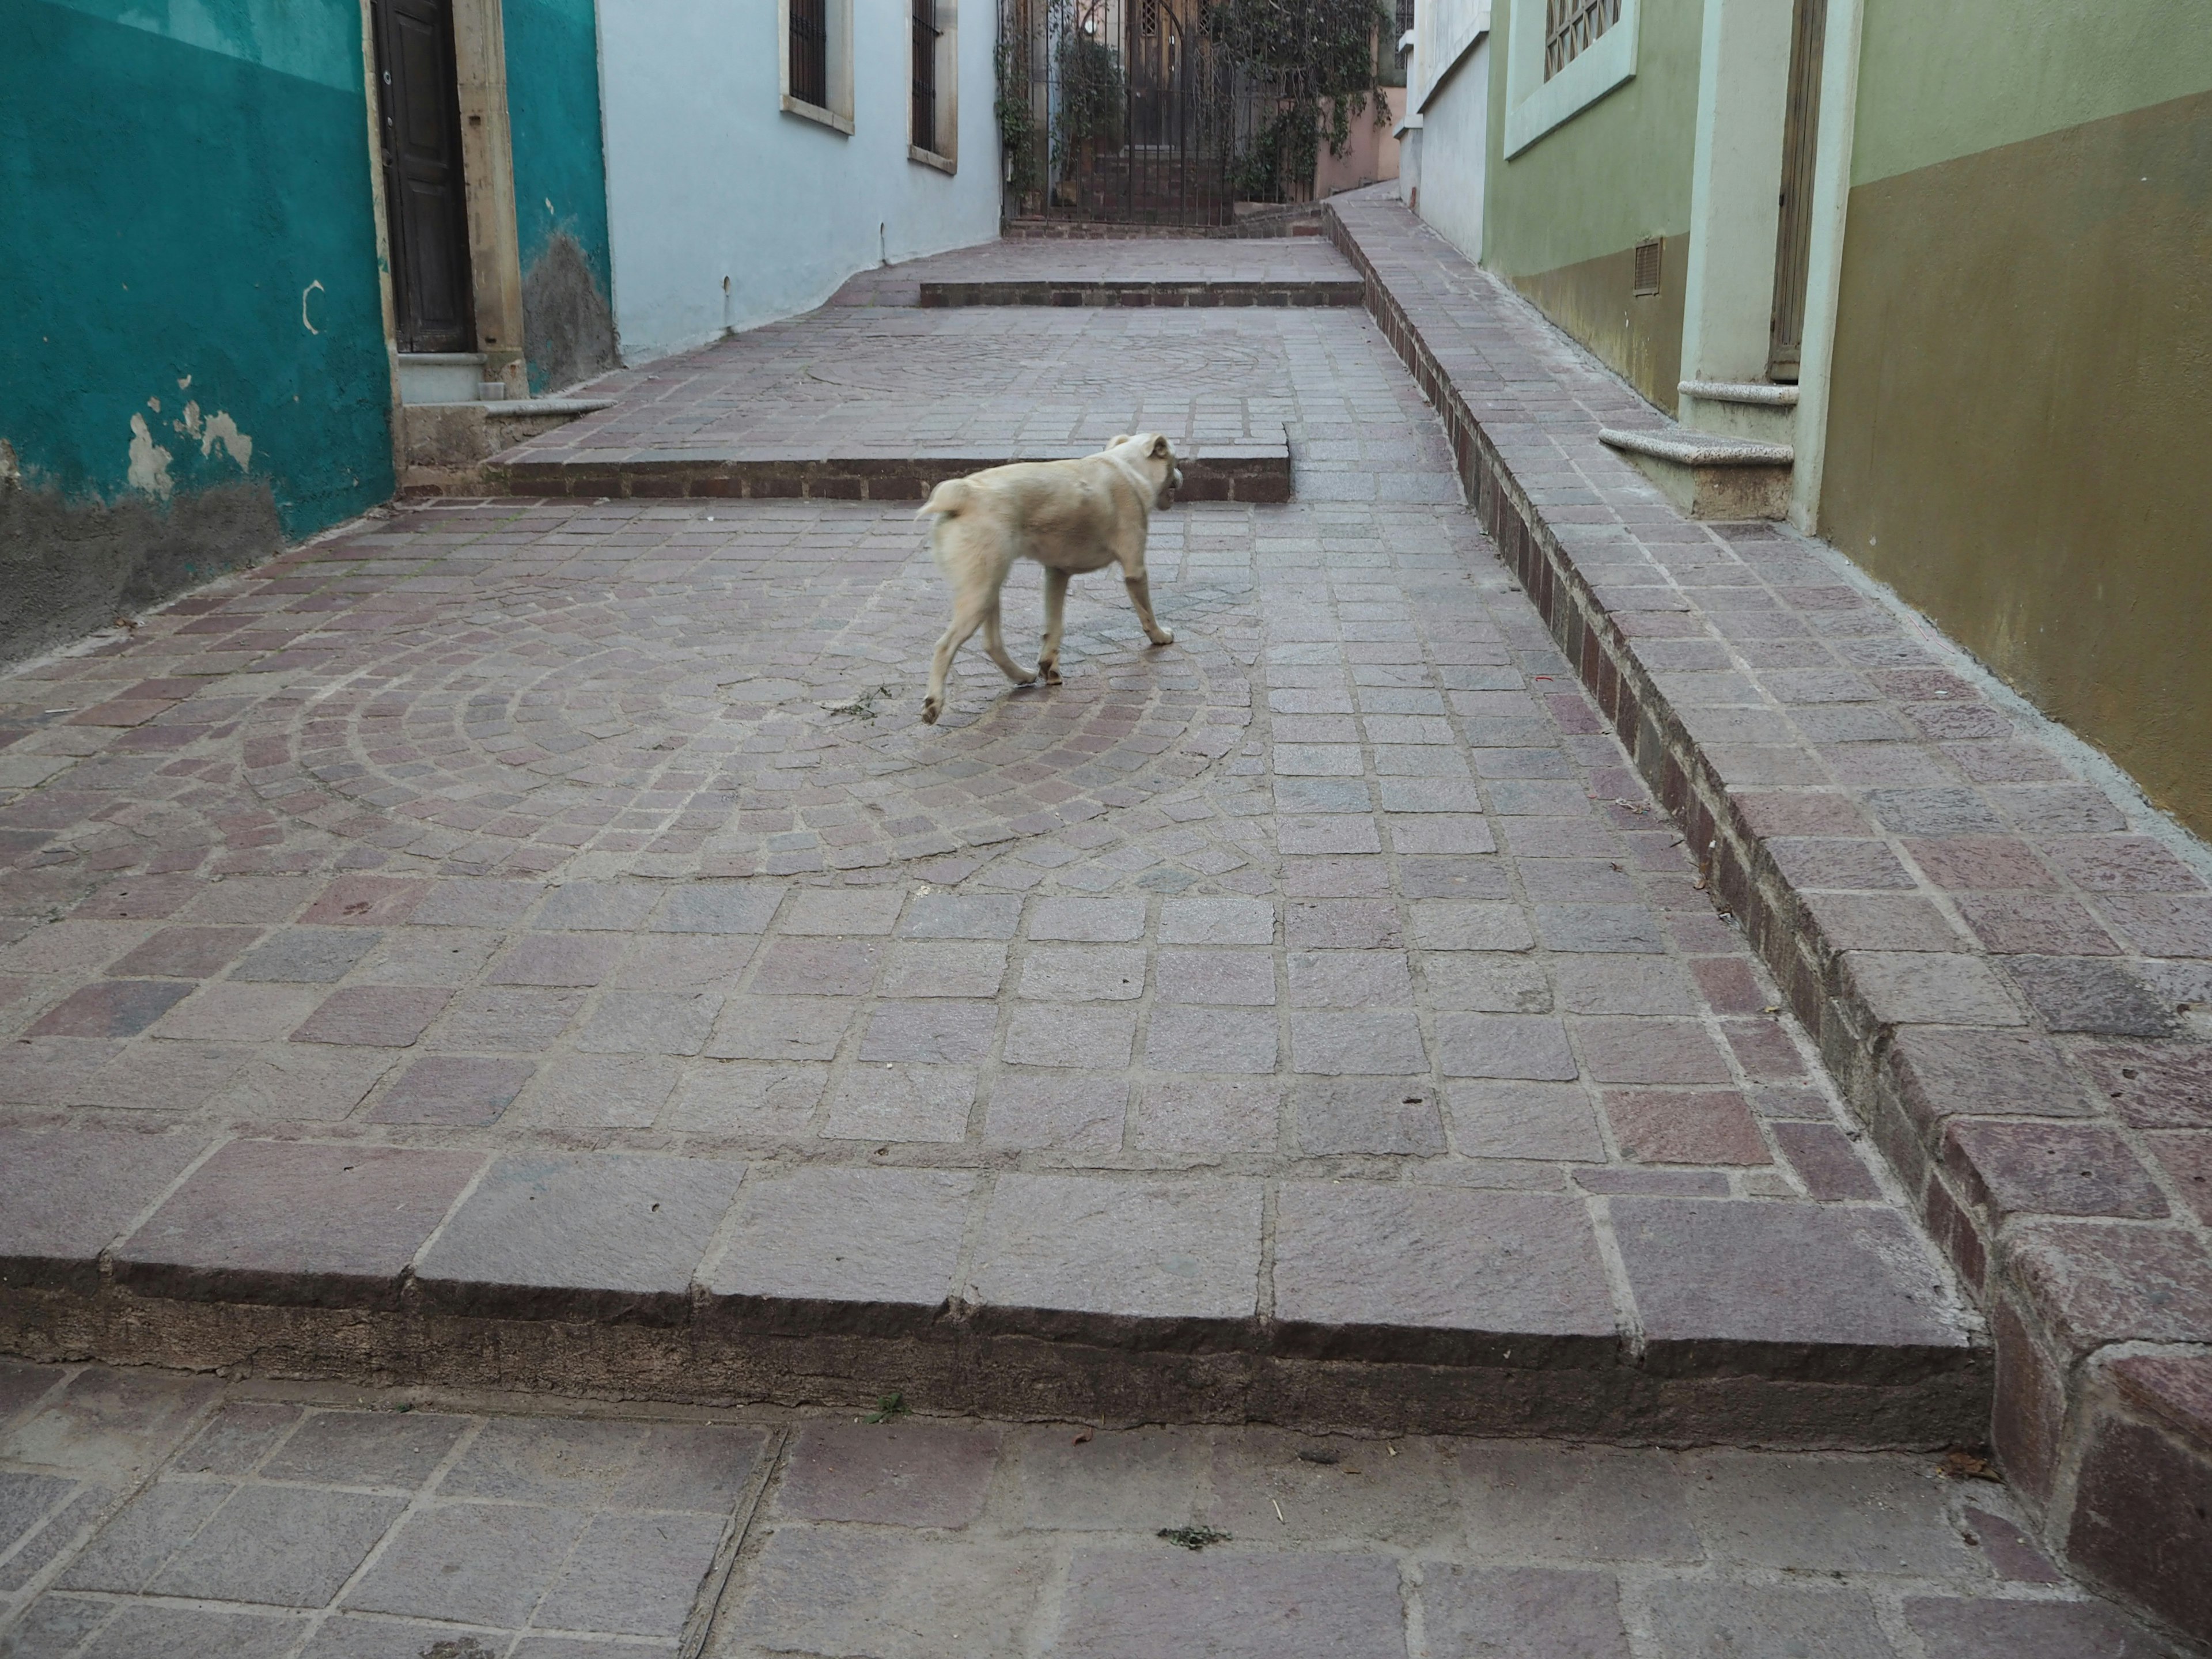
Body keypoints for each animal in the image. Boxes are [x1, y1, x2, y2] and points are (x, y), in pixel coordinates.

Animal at [911, 435, 1185, 725]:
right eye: (1176, 461)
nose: (1181, 476)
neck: (1128, 467)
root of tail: (963, 493)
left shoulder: (1057, 574)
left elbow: (1054, 628)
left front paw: (1049, 667)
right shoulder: (1135, 569)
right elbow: (1147, 613)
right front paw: (1160, 636)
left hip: (988, 590)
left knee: (993, 645)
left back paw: (1022, 675)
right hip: (980, 595)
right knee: (944, 646)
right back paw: (933, 703)